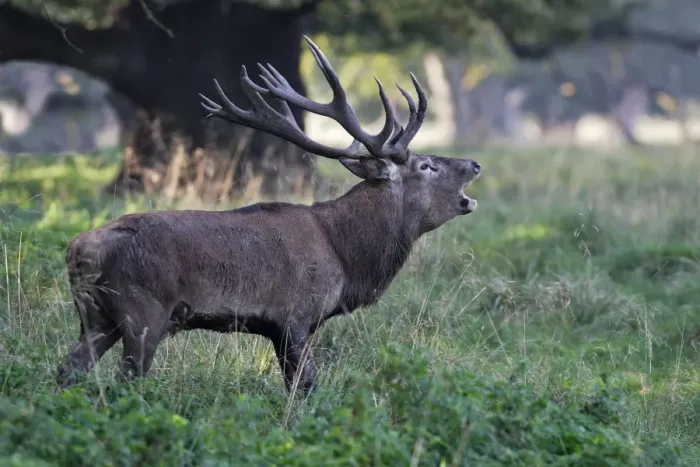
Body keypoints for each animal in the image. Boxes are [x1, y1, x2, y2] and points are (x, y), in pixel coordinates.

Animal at [56, 36, 482, 395]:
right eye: (427, 165)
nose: (475, 163)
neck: (346, 258)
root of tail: (77, 249)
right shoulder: (295, 315)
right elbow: (305, 386)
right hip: (143, 311)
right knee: (126, 379)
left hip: (95, 317)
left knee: (68, 369)